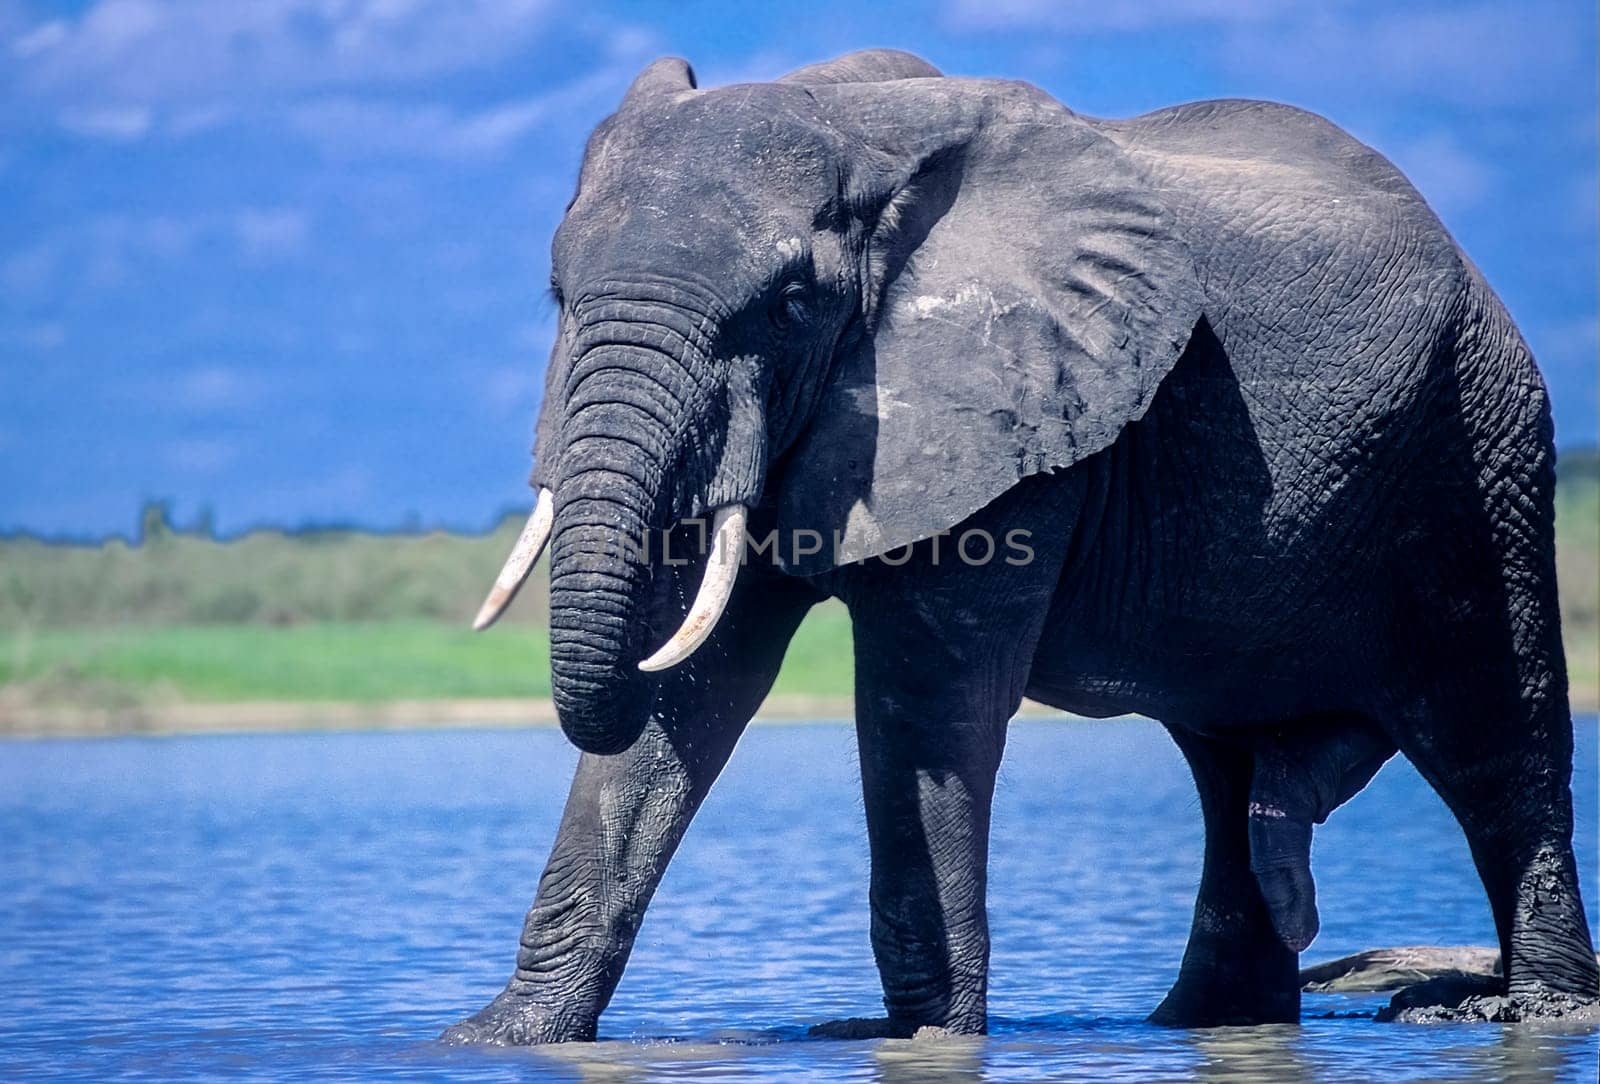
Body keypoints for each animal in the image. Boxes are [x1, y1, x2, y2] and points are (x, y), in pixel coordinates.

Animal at [441, 48, 1600, 1042]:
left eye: (791, 302)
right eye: (557, 295)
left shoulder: (1020, 412)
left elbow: (923, 705)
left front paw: (919, 1039)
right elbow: (691, 688)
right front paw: (497, 1039)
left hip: (1478, 444)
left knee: (1496, 734)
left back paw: (1523, 1013)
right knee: (1225, 765)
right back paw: (1210, 1013)